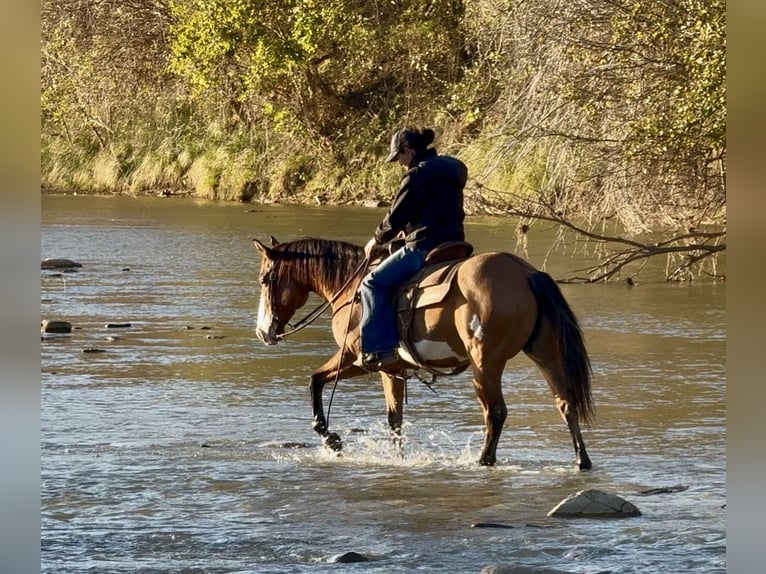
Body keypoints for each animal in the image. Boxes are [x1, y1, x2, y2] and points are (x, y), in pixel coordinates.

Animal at [252, 236, 594, 469]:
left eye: (266, 279)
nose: (263, 332)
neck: (351, 289)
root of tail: (525, 273)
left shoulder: (357, 359)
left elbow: (315, 381)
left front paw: (332, 440)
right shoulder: (393, 368)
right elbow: (395, 418)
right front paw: (397, 457)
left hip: (486, 363)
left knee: (495, 413)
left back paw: (484, 460)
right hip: (547, 355)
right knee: (565, 404)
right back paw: (582, 460)